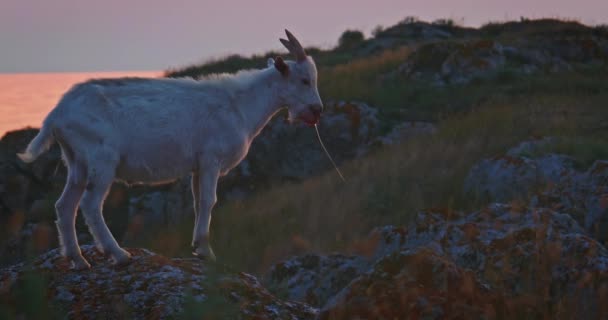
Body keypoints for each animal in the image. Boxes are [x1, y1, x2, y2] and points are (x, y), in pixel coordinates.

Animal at [17, 30, 324, 270]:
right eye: (305, 80)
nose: (317, 110)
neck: (239, 104)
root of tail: (56, 115)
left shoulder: (198, 166)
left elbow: (199, 201)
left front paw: (197, 247)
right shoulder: (211, 158)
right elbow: (209, 201)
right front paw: (206, 251)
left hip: (76, 160)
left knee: (64, 204)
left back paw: (78, 259)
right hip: (101, 157)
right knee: (91, 205)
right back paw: (119, 255)